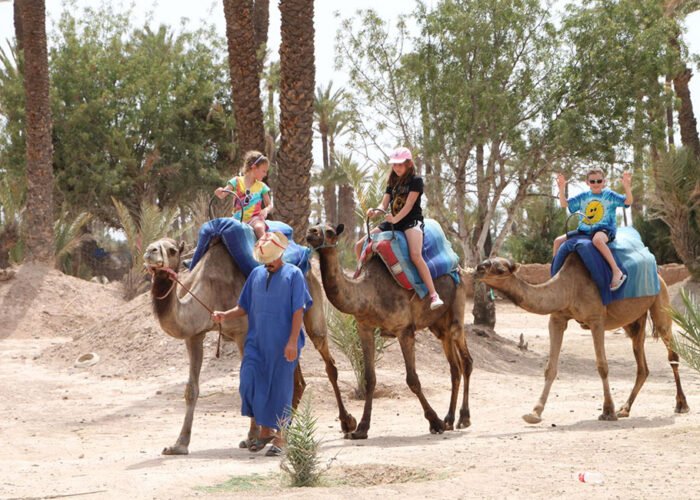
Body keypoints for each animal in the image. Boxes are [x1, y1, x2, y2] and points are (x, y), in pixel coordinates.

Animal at [143, 237, 356, 455]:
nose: (150, 251)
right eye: (154, 244)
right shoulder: (194, 335)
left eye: (172, 250)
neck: (209, 289)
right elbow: (191, 390)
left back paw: (347, 423)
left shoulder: (242, 333)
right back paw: (282, 431)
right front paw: (179, 445)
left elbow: (250, 382)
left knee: (328, 361)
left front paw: (252, 437)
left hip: (312, 306)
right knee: (296, 379)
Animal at [306, 223, 473, 439]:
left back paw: (463, 418)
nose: (311, 232)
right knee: (454, 367)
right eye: (315, 226)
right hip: (438, 326)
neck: (368, 293)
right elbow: (369, 378)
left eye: (330, 231)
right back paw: (450, 419)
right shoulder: (365, 328)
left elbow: (412, 379)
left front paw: (435, 422)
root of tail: (458, 265)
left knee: (465, 359)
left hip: (457, 306)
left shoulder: (404, 330)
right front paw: (361, 428)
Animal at [474, 254, 690, 424]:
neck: (569, 287)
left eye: (500, 269)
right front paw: (535, 412)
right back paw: (625, 408)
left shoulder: (596, 319)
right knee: (642, 365)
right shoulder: (557, 318)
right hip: (633, 321)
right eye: (487, 261)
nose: (478, 269)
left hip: (661, 303)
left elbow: (602, 366)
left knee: (671, 352)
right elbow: (550, 368)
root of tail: (659, 275)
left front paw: (608, 411)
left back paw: (681, 405)